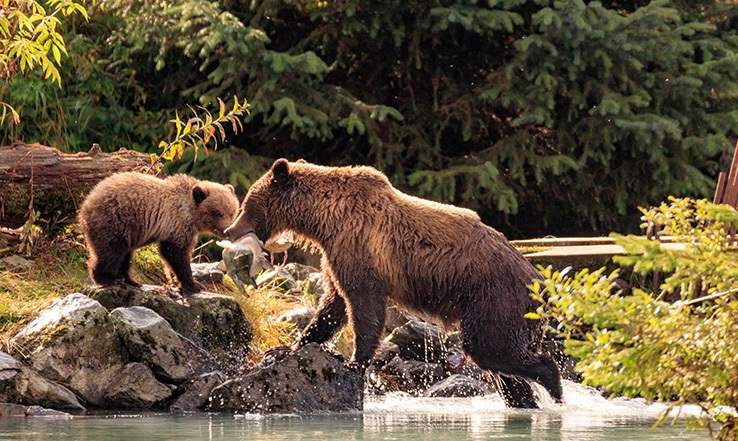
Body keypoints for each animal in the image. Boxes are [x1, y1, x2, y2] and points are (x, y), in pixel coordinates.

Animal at [78, 172, 239, 294]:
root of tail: (86, 202)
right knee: (110, 252)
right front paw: (193, 284)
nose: (228, 231)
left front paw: (177, 281)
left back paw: (130, 280)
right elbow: (176, 254)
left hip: (128, 231)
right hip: (114, 220)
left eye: (232, 212)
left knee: (125, 254)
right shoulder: (177, 223)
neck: (192, 213)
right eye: (218, 213)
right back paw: (106, 278)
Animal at [224, 159, 562, 408]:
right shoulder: (335, 255)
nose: (229, 230)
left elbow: (363, 305)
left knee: (490, 347)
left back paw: (554, 387)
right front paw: (288, 347)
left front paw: (354, 362)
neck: (324, 219)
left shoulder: (358, 247)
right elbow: (332, 306)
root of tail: (540, 281)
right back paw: (525, 400)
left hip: (495, 297)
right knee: (501, 368)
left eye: (247, 203)